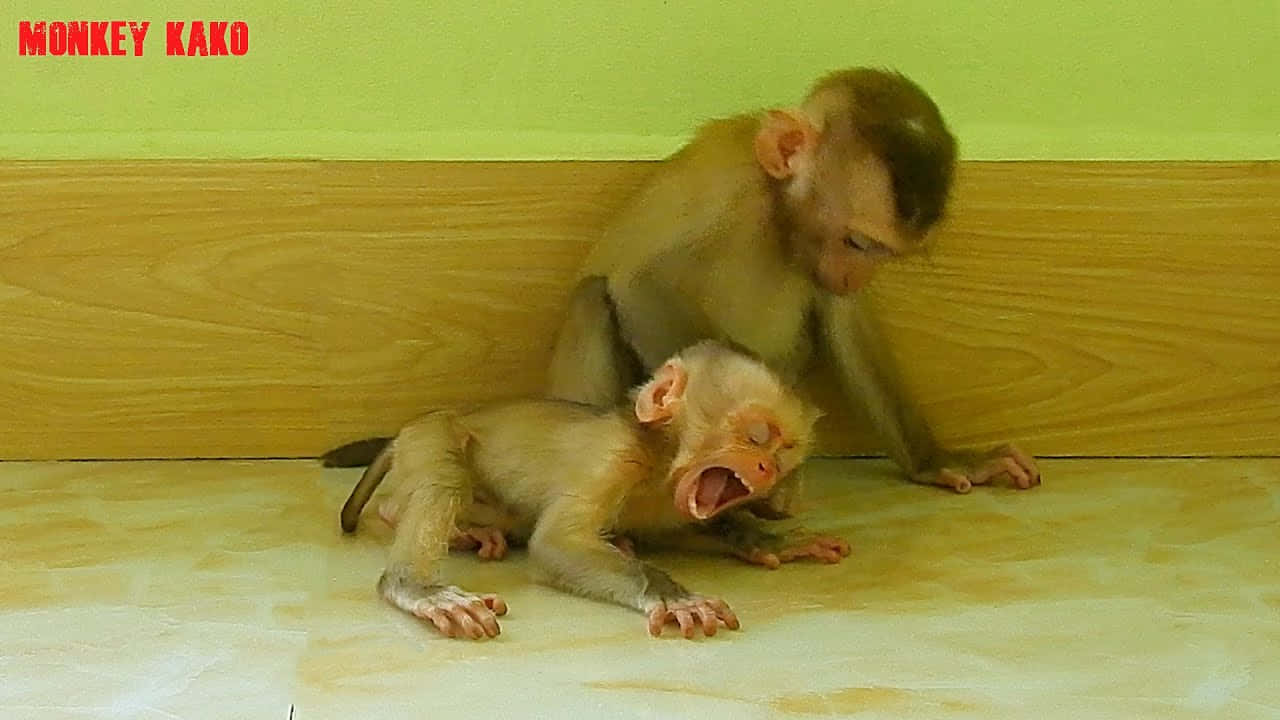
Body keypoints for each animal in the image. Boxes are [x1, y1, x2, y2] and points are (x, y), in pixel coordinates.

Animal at [322, 67, 1039, 499]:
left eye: (881, 255)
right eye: (859, 242)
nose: (852, 269)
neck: (776, 217)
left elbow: (842, 320)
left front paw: (935, 459)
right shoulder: (729, 190)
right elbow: (641, 286)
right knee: (596, 298)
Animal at [339, 341, 848, 640]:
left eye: (784, 454)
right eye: (757, 436)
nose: (764, 470)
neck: (660, 461)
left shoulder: (677, 506)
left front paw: (768, 539)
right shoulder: (613, 456)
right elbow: (555, 544)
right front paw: (672, 594)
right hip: (429, 434)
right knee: (439, 478)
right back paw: (415, 582)